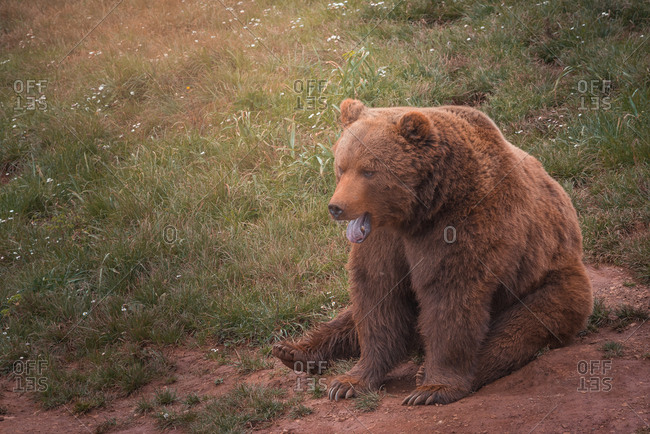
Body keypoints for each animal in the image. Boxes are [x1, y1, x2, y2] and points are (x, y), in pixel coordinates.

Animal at [272, 99, 593, 405]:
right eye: (341, 166)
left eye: (369, 170)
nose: (336, 207)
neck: (419, 211)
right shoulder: (383, 240)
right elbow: (377, 295)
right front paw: (349, 381)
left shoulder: (463, 226)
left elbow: (450, 298)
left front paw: (433, 388)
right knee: (347, 317)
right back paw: (292, 350)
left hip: (549, 282)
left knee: (517, 330)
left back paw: (431, 371)